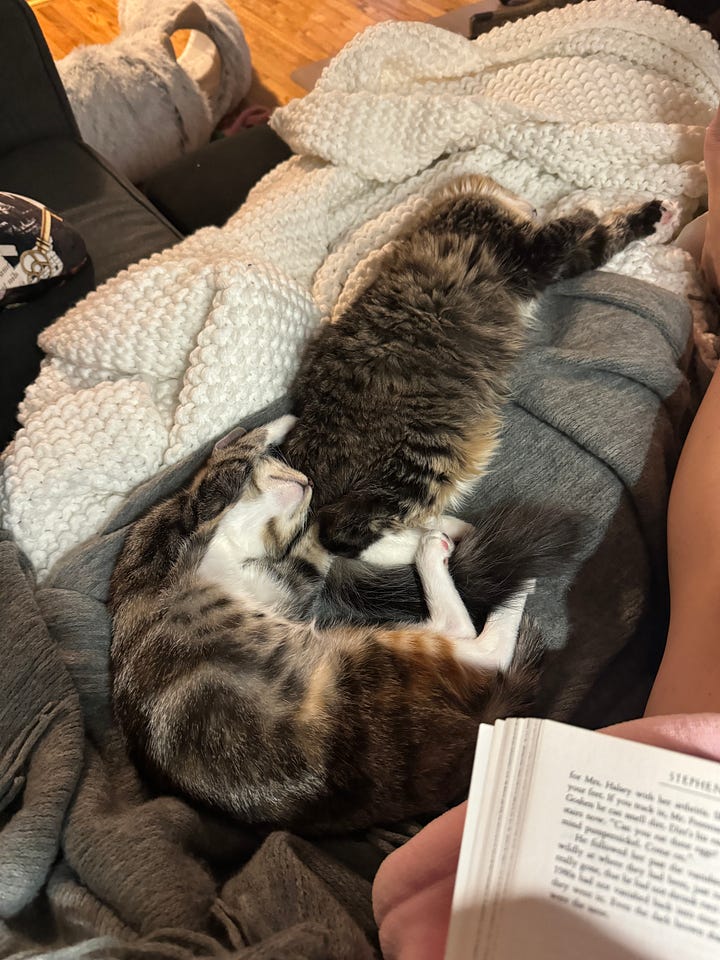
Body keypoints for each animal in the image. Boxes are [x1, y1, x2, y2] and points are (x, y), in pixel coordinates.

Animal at [108, 420, 544, 832]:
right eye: (281, 464)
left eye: (297, 472)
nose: (306, 480)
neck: (233, 538)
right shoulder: (176, 529)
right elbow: (235, 465)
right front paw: (279, 423)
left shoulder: (285, 586)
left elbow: (317, 539)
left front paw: (438, 526)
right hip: (369, 660)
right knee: (477, 644)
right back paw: (487, 574)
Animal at [282, 176, 676, 560]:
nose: (534, 206)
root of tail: (305, 443)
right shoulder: (531, 253)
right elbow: (570, 227)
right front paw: (588, 206)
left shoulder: (549, 266)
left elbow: (601, 241)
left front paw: (655, 217)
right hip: (423, 457)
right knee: (341, 533)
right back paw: (442, 544)